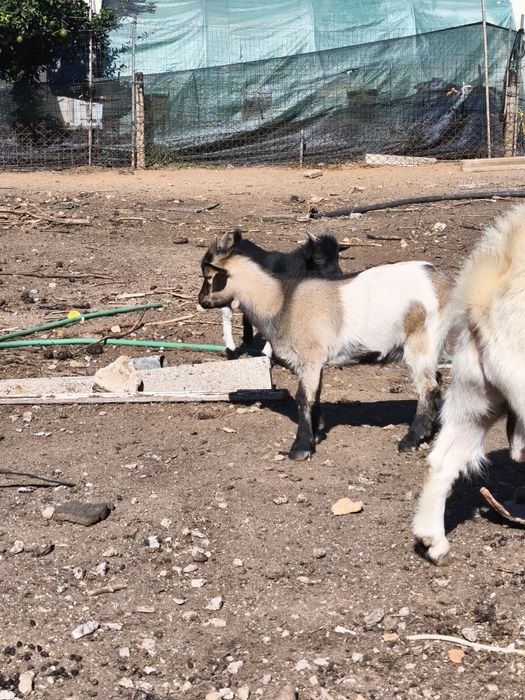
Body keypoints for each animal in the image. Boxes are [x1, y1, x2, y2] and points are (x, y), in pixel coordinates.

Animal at [199, 231, 451, 459]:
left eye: (209, 277)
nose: (201, 301)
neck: (282, 302)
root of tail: (442, 282)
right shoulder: (315, 360)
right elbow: (316, 394)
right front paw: (317, 433)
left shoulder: (308, 357)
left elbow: (304, 398)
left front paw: (301, 448)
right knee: (436, 381)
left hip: (421, 341)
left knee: (428, 387)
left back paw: (411, 440)